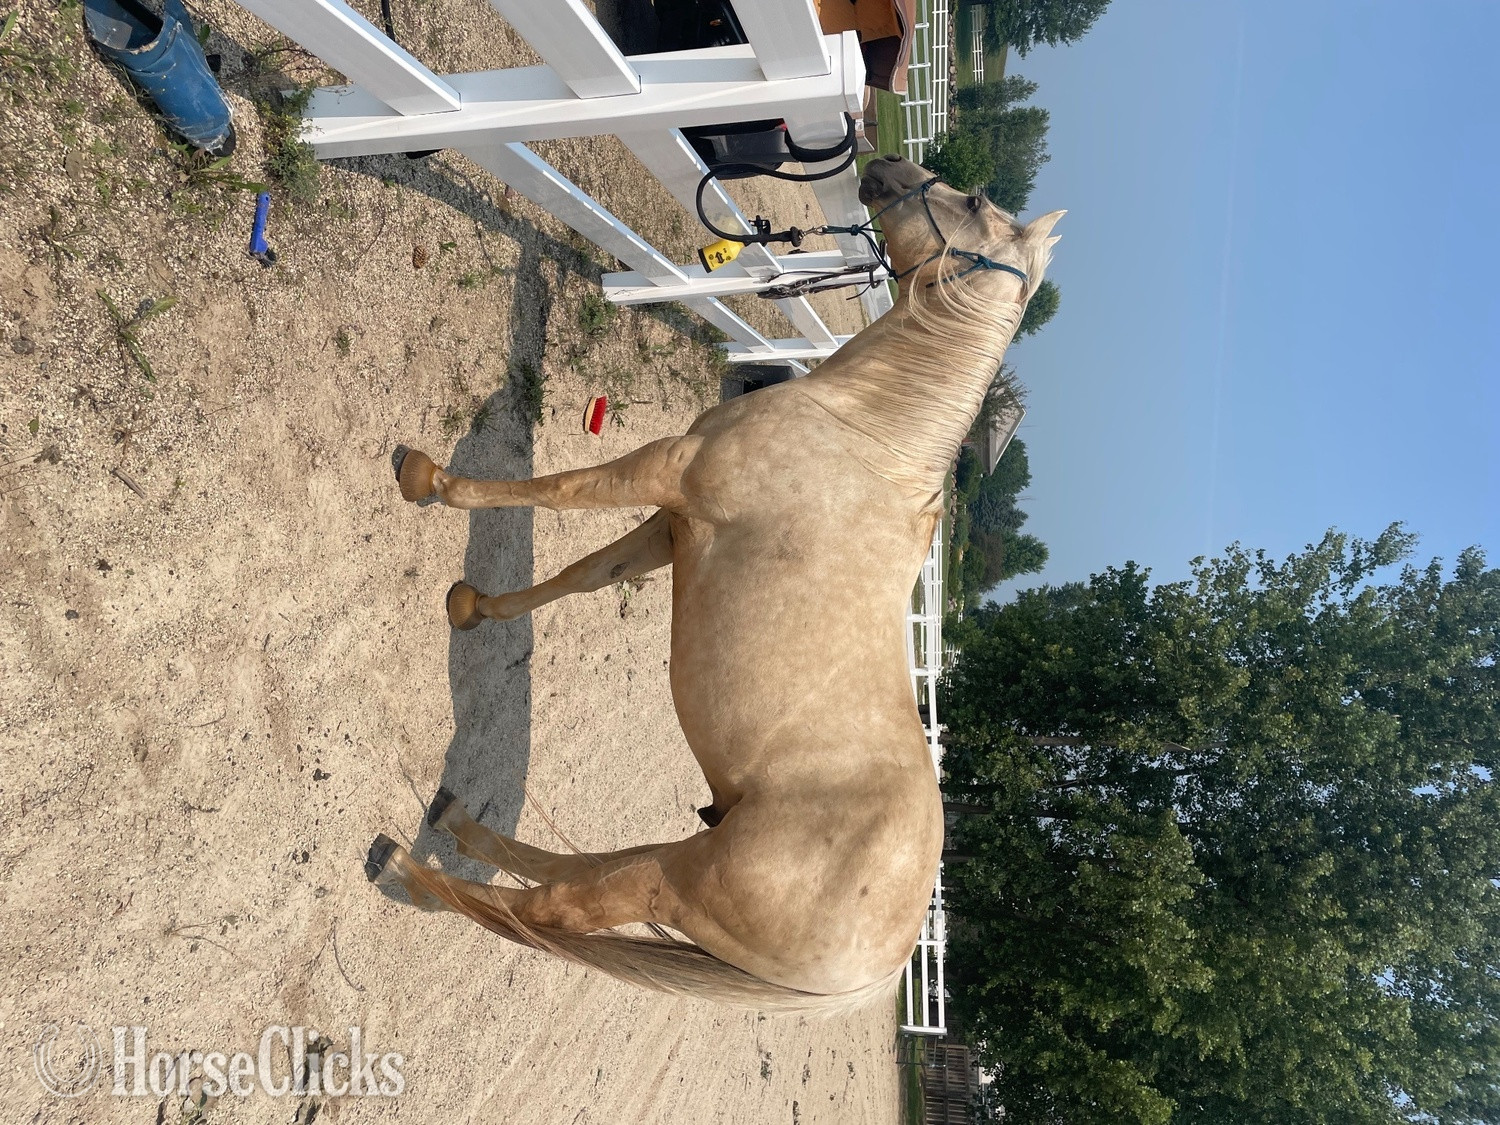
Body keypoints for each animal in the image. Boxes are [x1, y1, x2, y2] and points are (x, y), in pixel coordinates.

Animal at [366, 154, 1063, 1012]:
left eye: (973, 199)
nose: (878, 163)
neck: (864, 431)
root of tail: (883, 963)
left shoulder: (667, 469)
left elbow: (558, 491)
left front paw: (430, 480)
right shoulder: (674, 527)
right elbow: (582, 576)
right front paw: (473, 607)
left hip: (679, 882)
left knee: (561, 903)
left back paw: (411, 871)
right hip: (688, 856)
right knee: (585, 866)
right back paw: (457, 821)